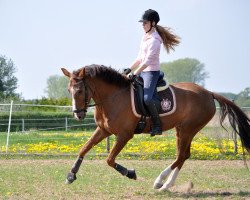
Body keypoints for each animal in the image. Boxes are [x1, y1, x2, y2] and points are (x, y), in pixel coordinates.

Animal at [61, 64, 250, 191]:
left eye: (79, 91)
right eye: (69, 91)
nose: (78, 115)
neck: (113, 97)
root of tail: (208, 93)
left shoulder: (124, 135)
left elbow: (109, 159)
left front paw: (130, 173)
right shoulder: (103, 130)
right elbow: (84, 149)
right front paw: (71, 175)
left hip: (188, 129)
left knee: (181, 156)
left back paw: (161, 182)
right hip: (182, 130)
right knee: (184, 156)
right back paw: (166, 184)